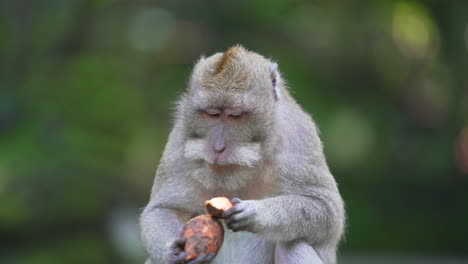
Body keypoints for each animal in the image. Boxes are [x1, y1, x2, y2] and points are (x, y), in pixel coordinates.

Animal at [139, 45, 344, 264]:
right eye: (212, 114)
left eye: (235, 115)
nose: (218, 147)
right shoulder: (180, 136)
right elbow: (164, 209)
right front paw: (171, 252)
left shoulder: (298, 135)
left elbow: (326, 209)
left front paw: (257, 213)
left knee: (293, 245)